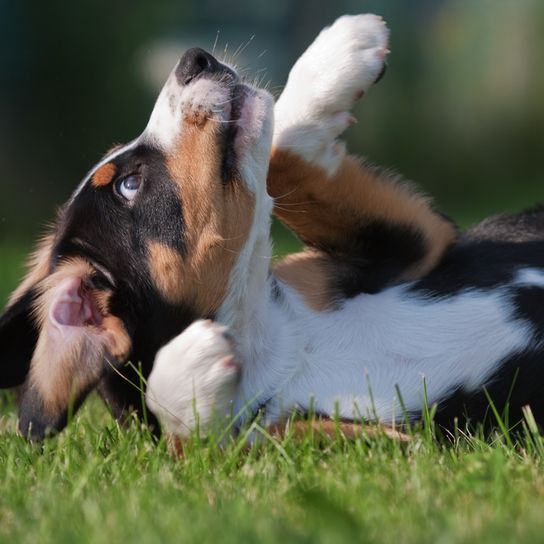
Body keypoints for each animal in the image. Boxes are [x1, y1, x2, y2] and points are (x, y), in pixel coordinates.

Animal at [0, 15, 540, 442]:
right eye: (128, 185)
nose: (194, 58)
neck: (269, 335)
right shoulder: (347, 443)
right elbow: (187, 439)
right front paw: (188, 372)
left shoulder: (412, 245)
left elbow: (285, 153)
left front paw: (340, 50)